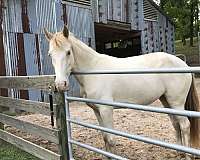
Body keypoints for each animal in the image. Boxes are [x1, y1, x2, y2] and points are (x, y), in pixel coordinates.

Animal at [45, 26, 200, 159]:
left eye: (68, 52)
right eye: (50, 54)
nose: (60, 84)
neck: (93, 70)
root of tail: (183, 64)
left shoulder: (106, 110)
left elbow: (111, 138)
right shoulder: (97, 111)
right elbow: (105, 137)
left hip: (177, 103)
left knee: (185, 125)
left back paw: (188, 155)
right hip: (166, 101)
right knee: (176, 124)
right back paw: (180, 152)